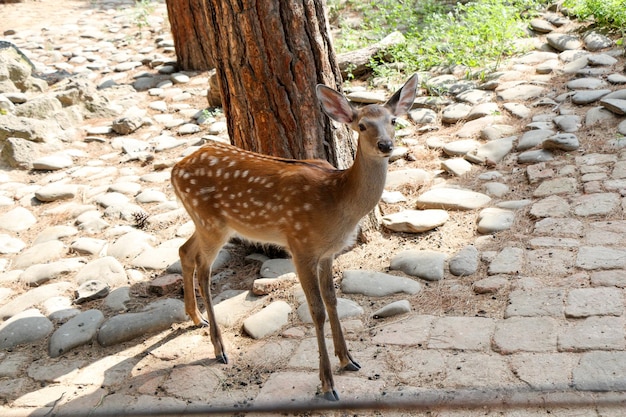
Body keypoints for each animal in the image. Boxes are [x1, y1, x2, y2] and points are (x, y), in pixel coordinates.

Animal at [168, 75, 416, 400]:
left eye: (393, 120)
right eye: (362, 125)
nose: (386, 145)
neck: (338, 200)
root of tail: (175, 169)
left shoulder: (327, 253)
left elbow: (333, 301)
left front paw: (348, 359)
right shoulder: (301, 246)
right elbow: (317, 311)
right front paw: (327, 383)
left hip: (208, 223)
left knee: (184, 250)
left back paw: (196, 317)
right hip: (212, 223)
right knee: (203, 270)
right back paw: (219, 348)